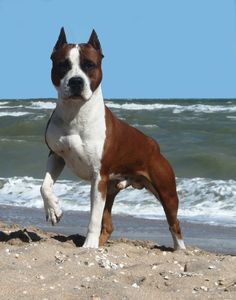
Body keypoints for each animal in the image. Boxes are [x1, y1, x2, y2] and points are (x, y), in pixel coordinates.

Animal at [41, 28, 187, 250]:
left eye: (89, 65)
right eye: (63, 64)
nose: (76, 81)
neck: (76, 114)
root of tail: (154, 145)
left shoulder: (98, 178)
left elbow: (93, 217)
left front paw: (89, 246)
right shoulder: (56, 155)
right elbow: (45, 186)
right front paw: (53, 210)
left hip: (166, 192)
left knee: (174, 223)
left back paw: (181, 250)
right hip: (110, 190)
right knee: (108, 224)